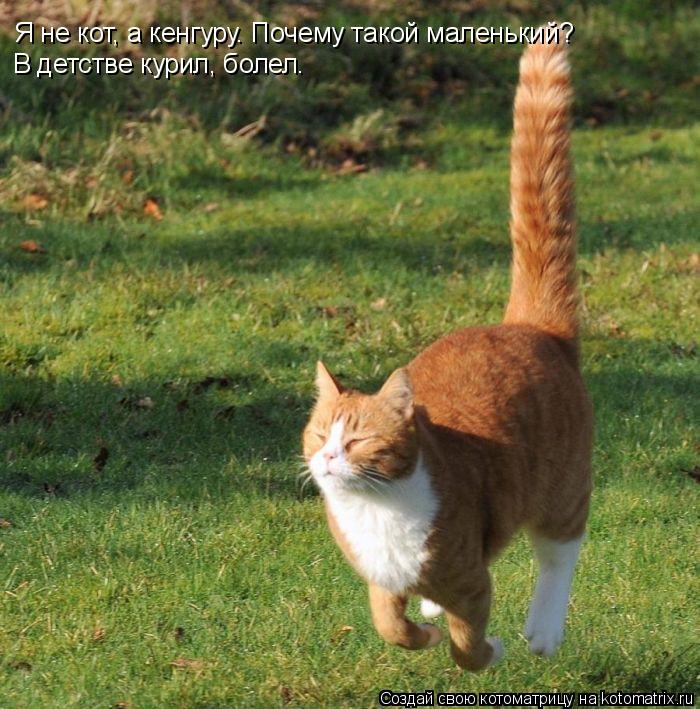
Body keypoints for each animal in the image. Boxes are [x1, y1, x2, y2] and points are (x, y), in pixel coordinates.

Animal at [300, 40, 592, 668]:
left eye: (356, 440)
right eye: (318, 434)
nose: (328, 458)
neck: (377, 511)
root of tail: (526, 326)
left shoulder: (471, 581)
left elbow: (468, 645)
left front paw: (489, 649)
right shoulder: (381, 582)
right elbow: (391, 624)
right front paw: (420, 631)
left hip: (561, 489)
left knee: (560, 552)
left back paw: (543, 630)